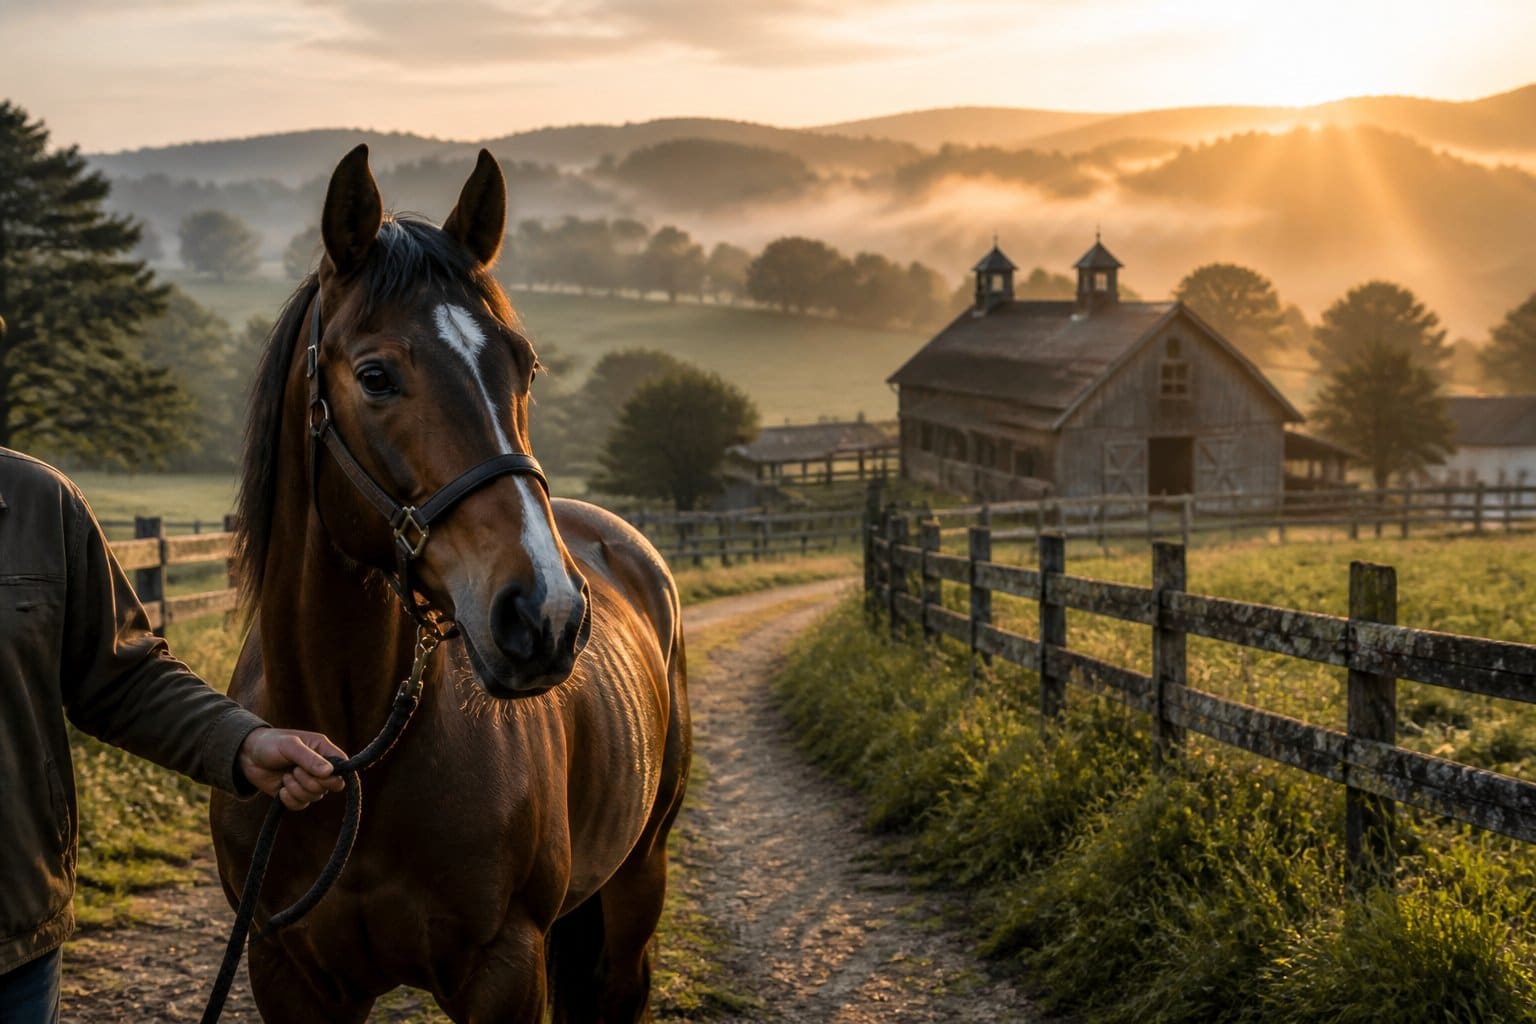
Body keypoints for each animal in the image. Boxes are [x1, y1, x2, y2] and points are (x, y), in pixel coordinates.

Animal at [210, 145, 690, 1023]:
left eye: (523, 365)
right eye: (375, 375)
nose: (547, 614)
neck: (355, 752)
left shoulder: (505, 968)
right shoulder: (285, 971)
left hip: (639, 880)